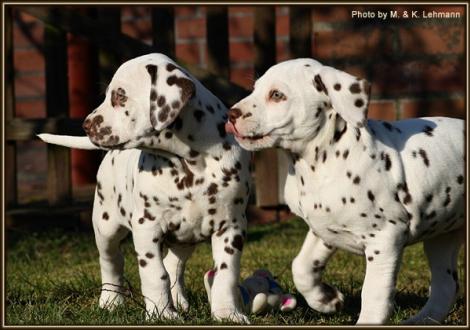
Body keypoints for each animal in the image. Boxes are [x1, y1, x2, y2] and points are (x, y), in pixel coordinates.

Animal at [39, 52, 252, 324]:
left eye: (120, 96)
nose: (86, 125)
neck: (190, 162)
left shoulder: (231, 227)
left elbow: (226, 274)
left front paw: (227, 314)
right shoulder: (147, 226)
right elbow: (154, 274)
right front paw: (161, 313)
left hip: (186, 237)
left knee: (174, 265)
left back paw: (179, 302)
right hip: (105, 227)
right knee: (112, 262)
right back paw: (110, 301)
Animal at [226, 58, 464, 324]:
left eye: (277, 95)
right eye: (255, 89)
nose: (231, 114)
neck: (319, 164)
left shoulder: (385, 238)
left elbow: (373, 292)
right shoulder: (323, 229)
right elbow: (301, 268)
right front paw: (326, 300)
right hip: (442, 237)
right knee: (446, 285)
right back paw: (421, 320)